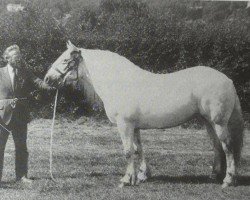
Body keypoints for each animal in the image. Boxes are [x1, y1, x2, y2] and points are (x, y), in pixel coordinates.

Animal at [44, 41, 243, 188]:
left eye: (65, 60)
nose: (47, 79)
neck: (120, 83)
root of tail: (228, 80)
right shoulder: (134, 126)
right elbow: (138, 149)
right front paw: (141, 175)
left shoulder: (124, 124)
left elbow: (127, 151)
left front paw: (126, 180)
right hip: (208, 122)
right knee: (217, 147)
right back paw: (214, 176)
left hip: (219, 122)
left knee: (227, 146)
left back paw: (228, 180)